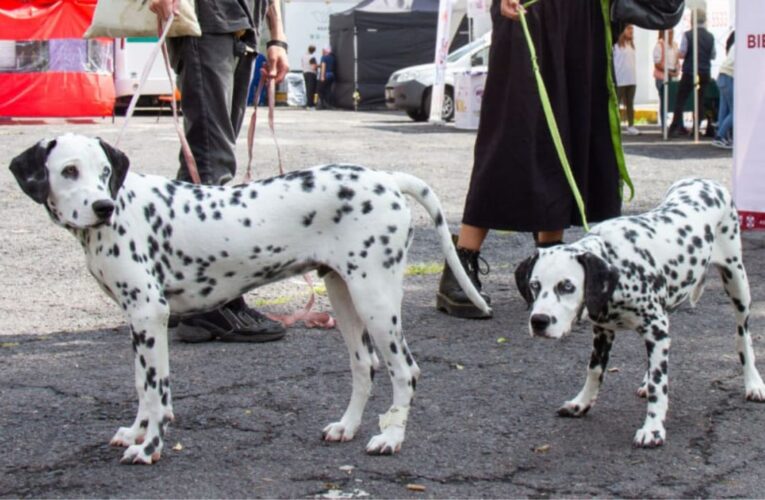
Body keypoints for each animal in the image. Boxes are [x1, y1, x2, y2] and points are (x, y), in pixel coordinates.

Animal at [8, 134, 490, 464]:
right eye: (70, 171)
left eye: (105, 172)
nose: (102, 206)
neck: (122, 212)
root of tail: (387, 177)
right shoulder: (138, 321)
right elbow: (143, 387)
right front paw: (135, 432)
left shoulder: (151, 315)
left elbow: (159, 393)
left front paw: (150, 448)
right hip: (345, 297)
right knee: (364, 367)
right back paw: (347, 427)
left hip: (376, 299)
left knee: (405, 371)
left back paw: (391, 438)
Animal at [512, 179, 764, 450]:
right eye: (535, 285)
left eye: (567, 286)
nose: (538, 321)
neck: (618, 264)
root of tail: (706, 181)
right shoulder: (604, 331)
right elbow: (595, 371)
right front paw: (581, 404)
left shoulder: (655, 328)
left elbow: (658, 384)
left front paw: (653, 429)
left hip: (737, 282)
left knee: (742, 337)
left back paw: (753, 382)